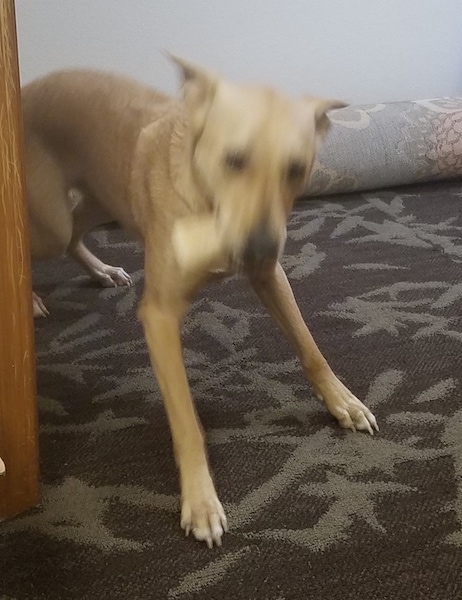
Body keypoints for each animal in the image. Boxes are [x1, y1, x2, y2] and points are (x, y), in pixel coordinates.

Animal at [22, 58, 378, 548]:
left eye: (296, 168)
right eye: (234, 160)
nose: (258, 249)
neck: (207, 205)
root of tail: (26, 90)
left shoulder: (271, 276)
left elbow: (310, 348)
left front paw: (343, 400)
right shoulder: (159, 317)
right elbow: (187, 422)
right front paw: (201, 502)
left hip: (103, 196)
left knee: (76, 233)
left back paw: (102, 271)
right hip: (50, 220)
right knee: (32, 235)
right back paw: (29, 294)